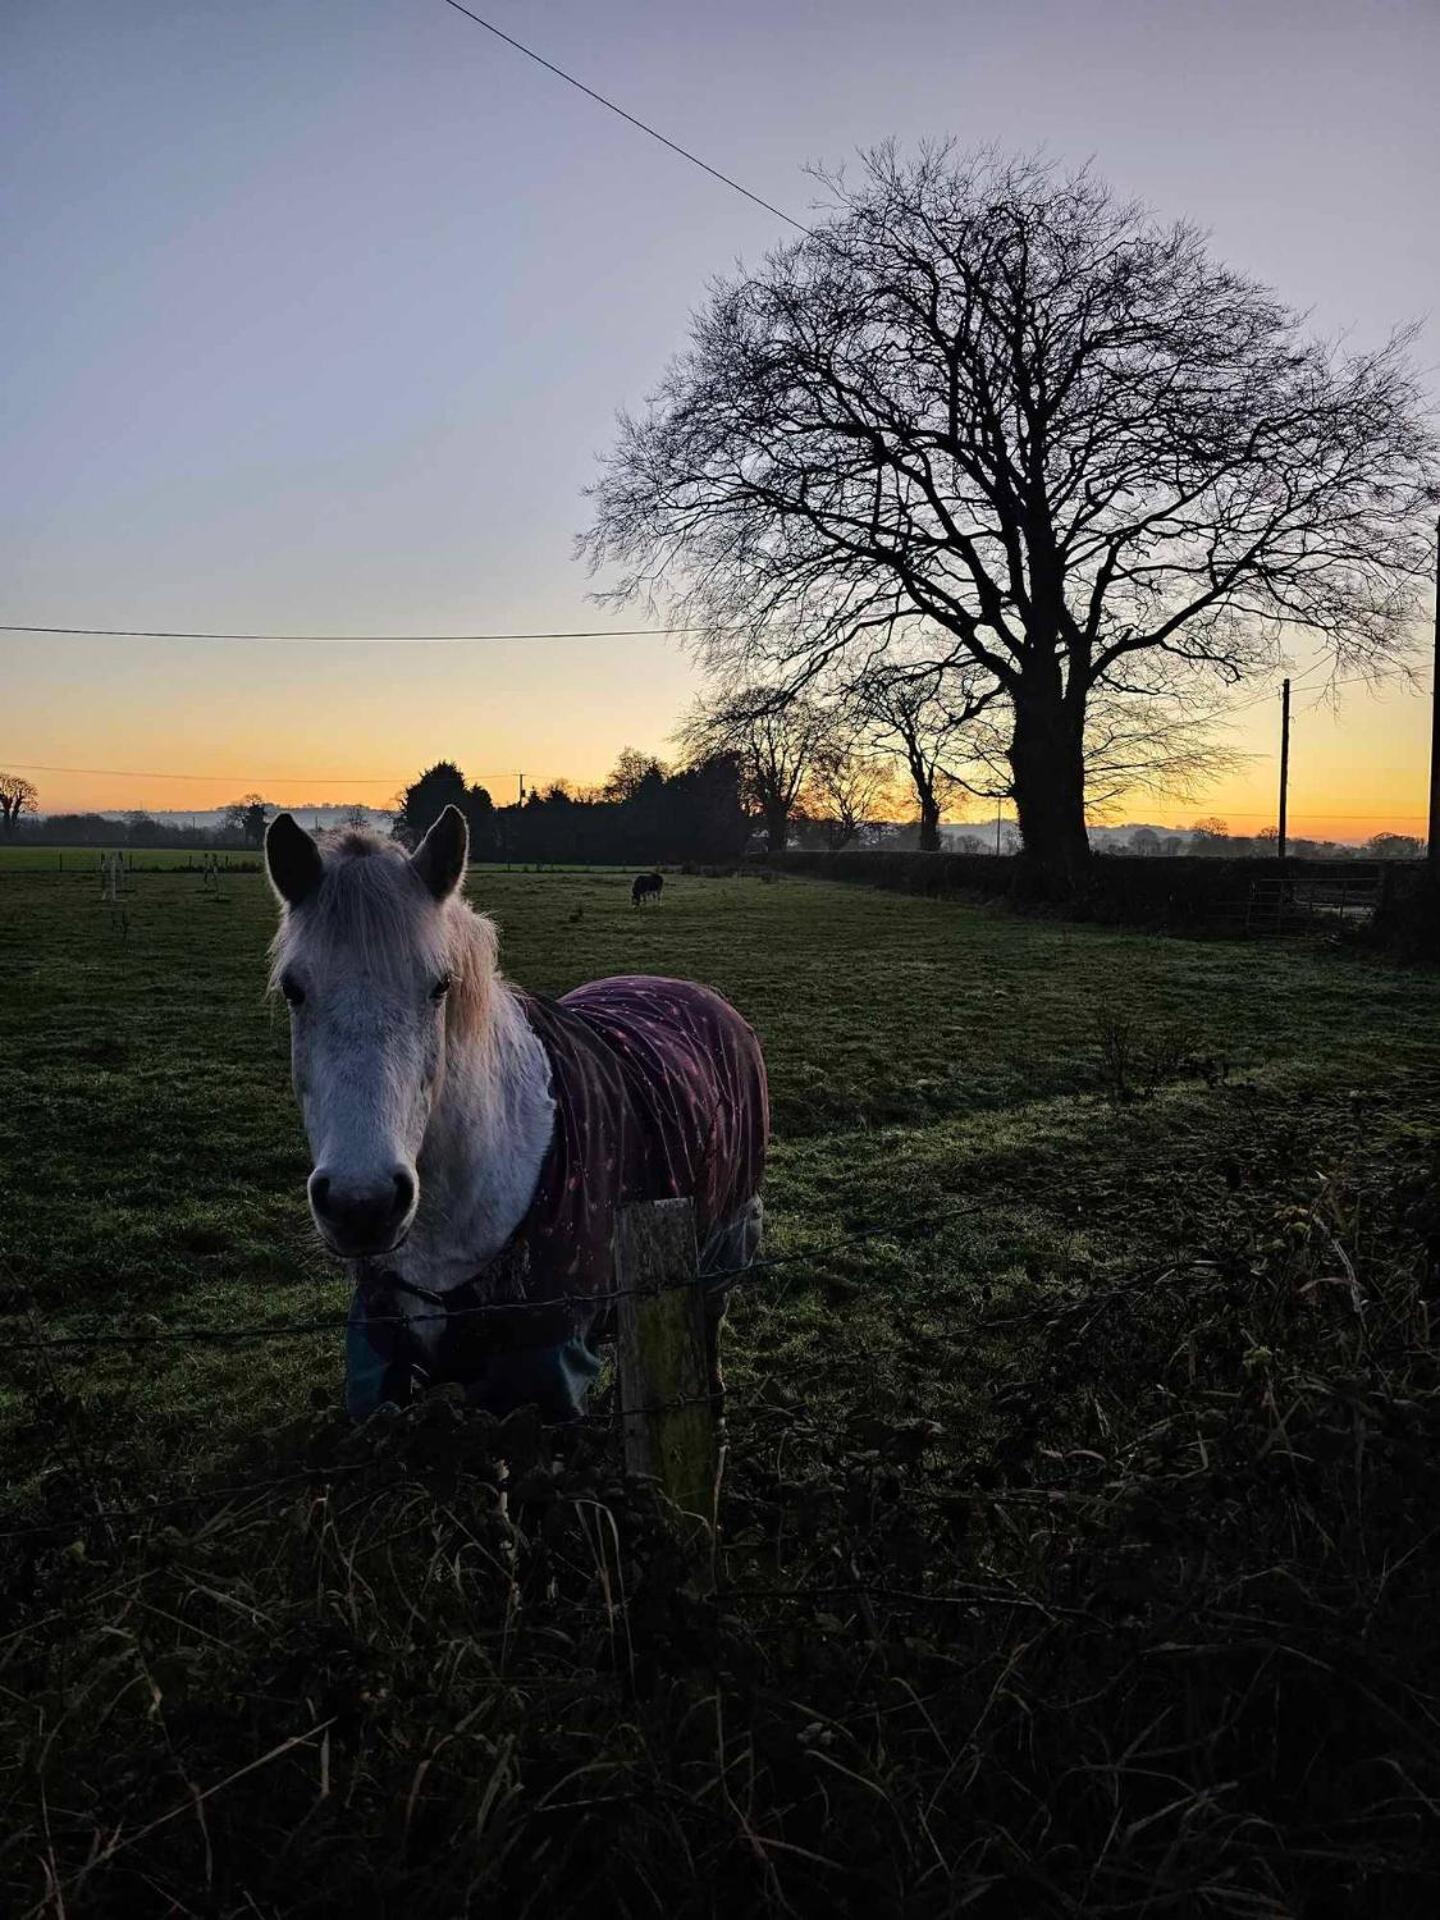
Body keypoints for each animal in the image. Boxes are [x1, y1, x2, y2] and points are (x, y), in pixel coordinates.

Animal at [264, 802, 771, 1420]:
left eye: (440, 986)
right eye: (294, 990)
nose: (363, 1205)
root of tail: (696, 991)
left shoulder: (546, 1375)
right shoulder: (383, 1363)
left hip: (725, 1246)